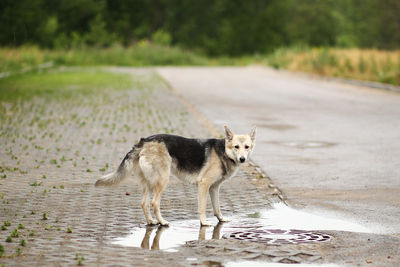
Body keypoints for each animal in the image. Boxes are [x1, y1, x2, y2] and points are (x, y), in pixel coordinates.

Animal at [95, 126, 256, 227]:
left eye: (246, 147)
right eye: (236, 147)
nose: (242, 159)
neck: (223, 151)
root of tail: (144, 141)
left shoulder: (214, 188)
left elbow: (217, 208)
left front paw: (221, 220)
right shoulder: (204, 185)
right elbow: (203, 207)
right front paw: (203, 223)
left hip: (149, 183)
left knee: (143, 203)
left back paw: (151, 221)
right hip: (162, 180)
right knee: (154, 203)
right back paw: (162, 222)